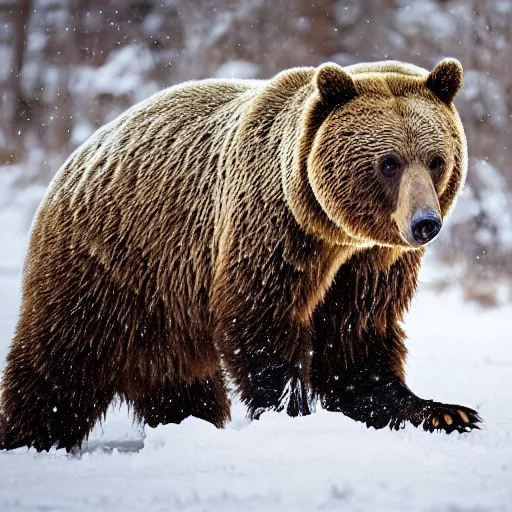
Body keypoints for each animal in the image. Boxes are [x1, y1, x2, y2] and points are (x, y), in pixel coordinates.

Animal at [0, 57, 480, 452]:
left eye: (436, 160)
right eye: (389, 162)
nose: (425, 223)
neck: (332, 235)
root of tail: (74, 158)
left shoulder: (370, 263)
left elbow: (356, 339)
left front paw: (445, 411)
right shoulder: (268, 228)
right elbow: (261, 322)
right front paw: (292, 411)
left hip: (164, 309)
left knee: (179, 386)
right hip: (107, 267)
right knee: (58, 367)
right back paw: (27, 439)